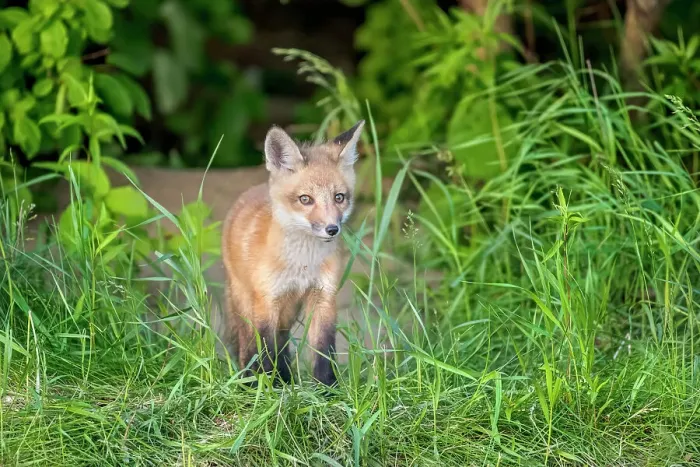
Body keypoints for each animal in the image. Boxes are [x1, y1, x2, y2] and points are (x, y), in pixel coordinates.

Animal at [220, 120, 365, 387]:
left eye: (339, 197)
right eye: (305, 199)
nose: (332, 229)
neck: (302, 265)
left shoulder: (323, 296)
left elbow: (323, 350)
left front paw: (327, 389)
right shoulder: (267, 301)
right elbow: (265, 350)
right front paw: (267, 387)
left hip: (289, 311)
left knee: (282, 344)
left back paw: (286, 379)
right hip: (246, 301)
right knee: (248, 346)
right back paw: (249, 381)